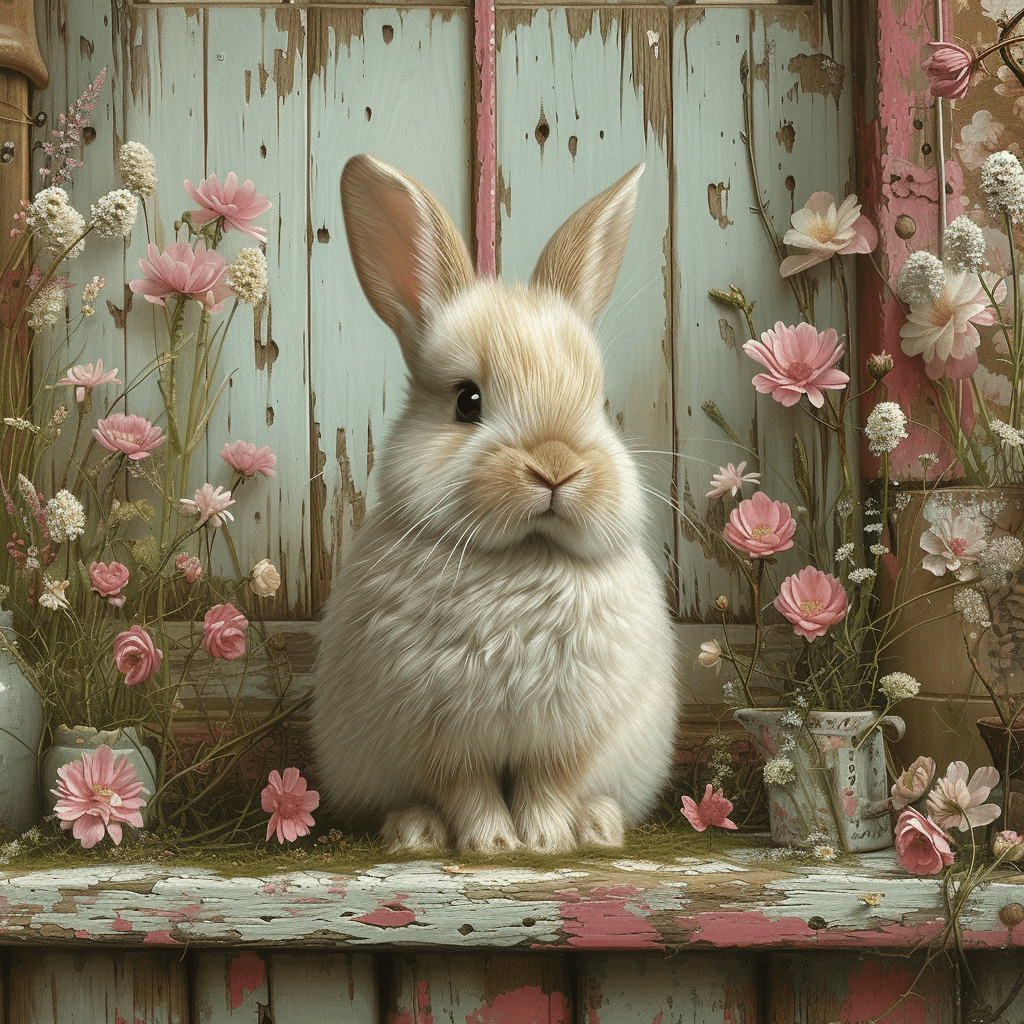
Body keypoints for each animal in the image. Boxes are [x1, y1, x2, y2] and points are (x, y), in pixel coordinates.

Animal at [310, 153, 679, 854]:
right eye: (467, 401)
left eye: (598, 402)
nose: (556, 467)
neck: (523, 556)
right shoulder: (439, 735)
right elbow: (468, 790)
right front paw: (494, 845)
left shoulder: (567, 736)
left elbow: (548, 784)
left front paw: (547, 840)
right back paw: (415, 832)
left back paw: (598, 825)